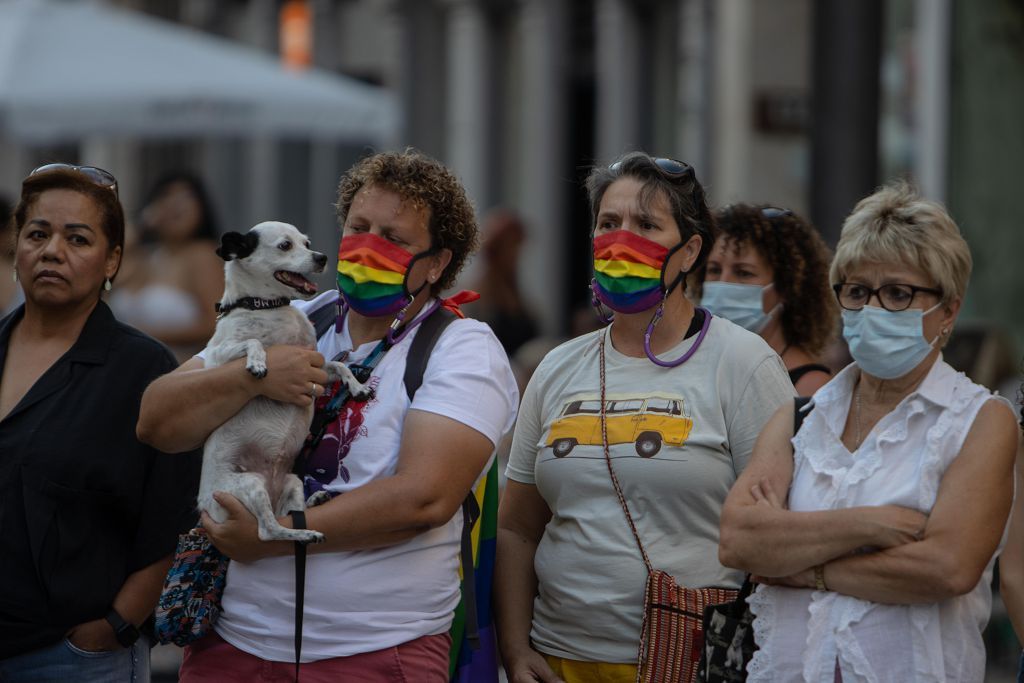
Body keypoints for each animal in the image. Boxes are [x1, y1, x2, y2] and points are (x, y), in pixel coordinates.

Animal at [194, 222, 368, 540]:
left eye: (307, 243)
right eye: (285, 246)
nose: (322, 257)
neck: (267, 307)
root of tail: (206, 507)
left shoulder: (316, 366)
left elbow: (339, 364)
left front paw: (357, 386)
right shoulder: (218, 357)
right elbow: (252, 341)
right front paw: (258, 363)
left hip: (292, 481)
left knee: (289, 514)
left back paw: (314, 501)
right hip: (251, 484)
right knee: (268, 530)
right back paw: (305, 534)